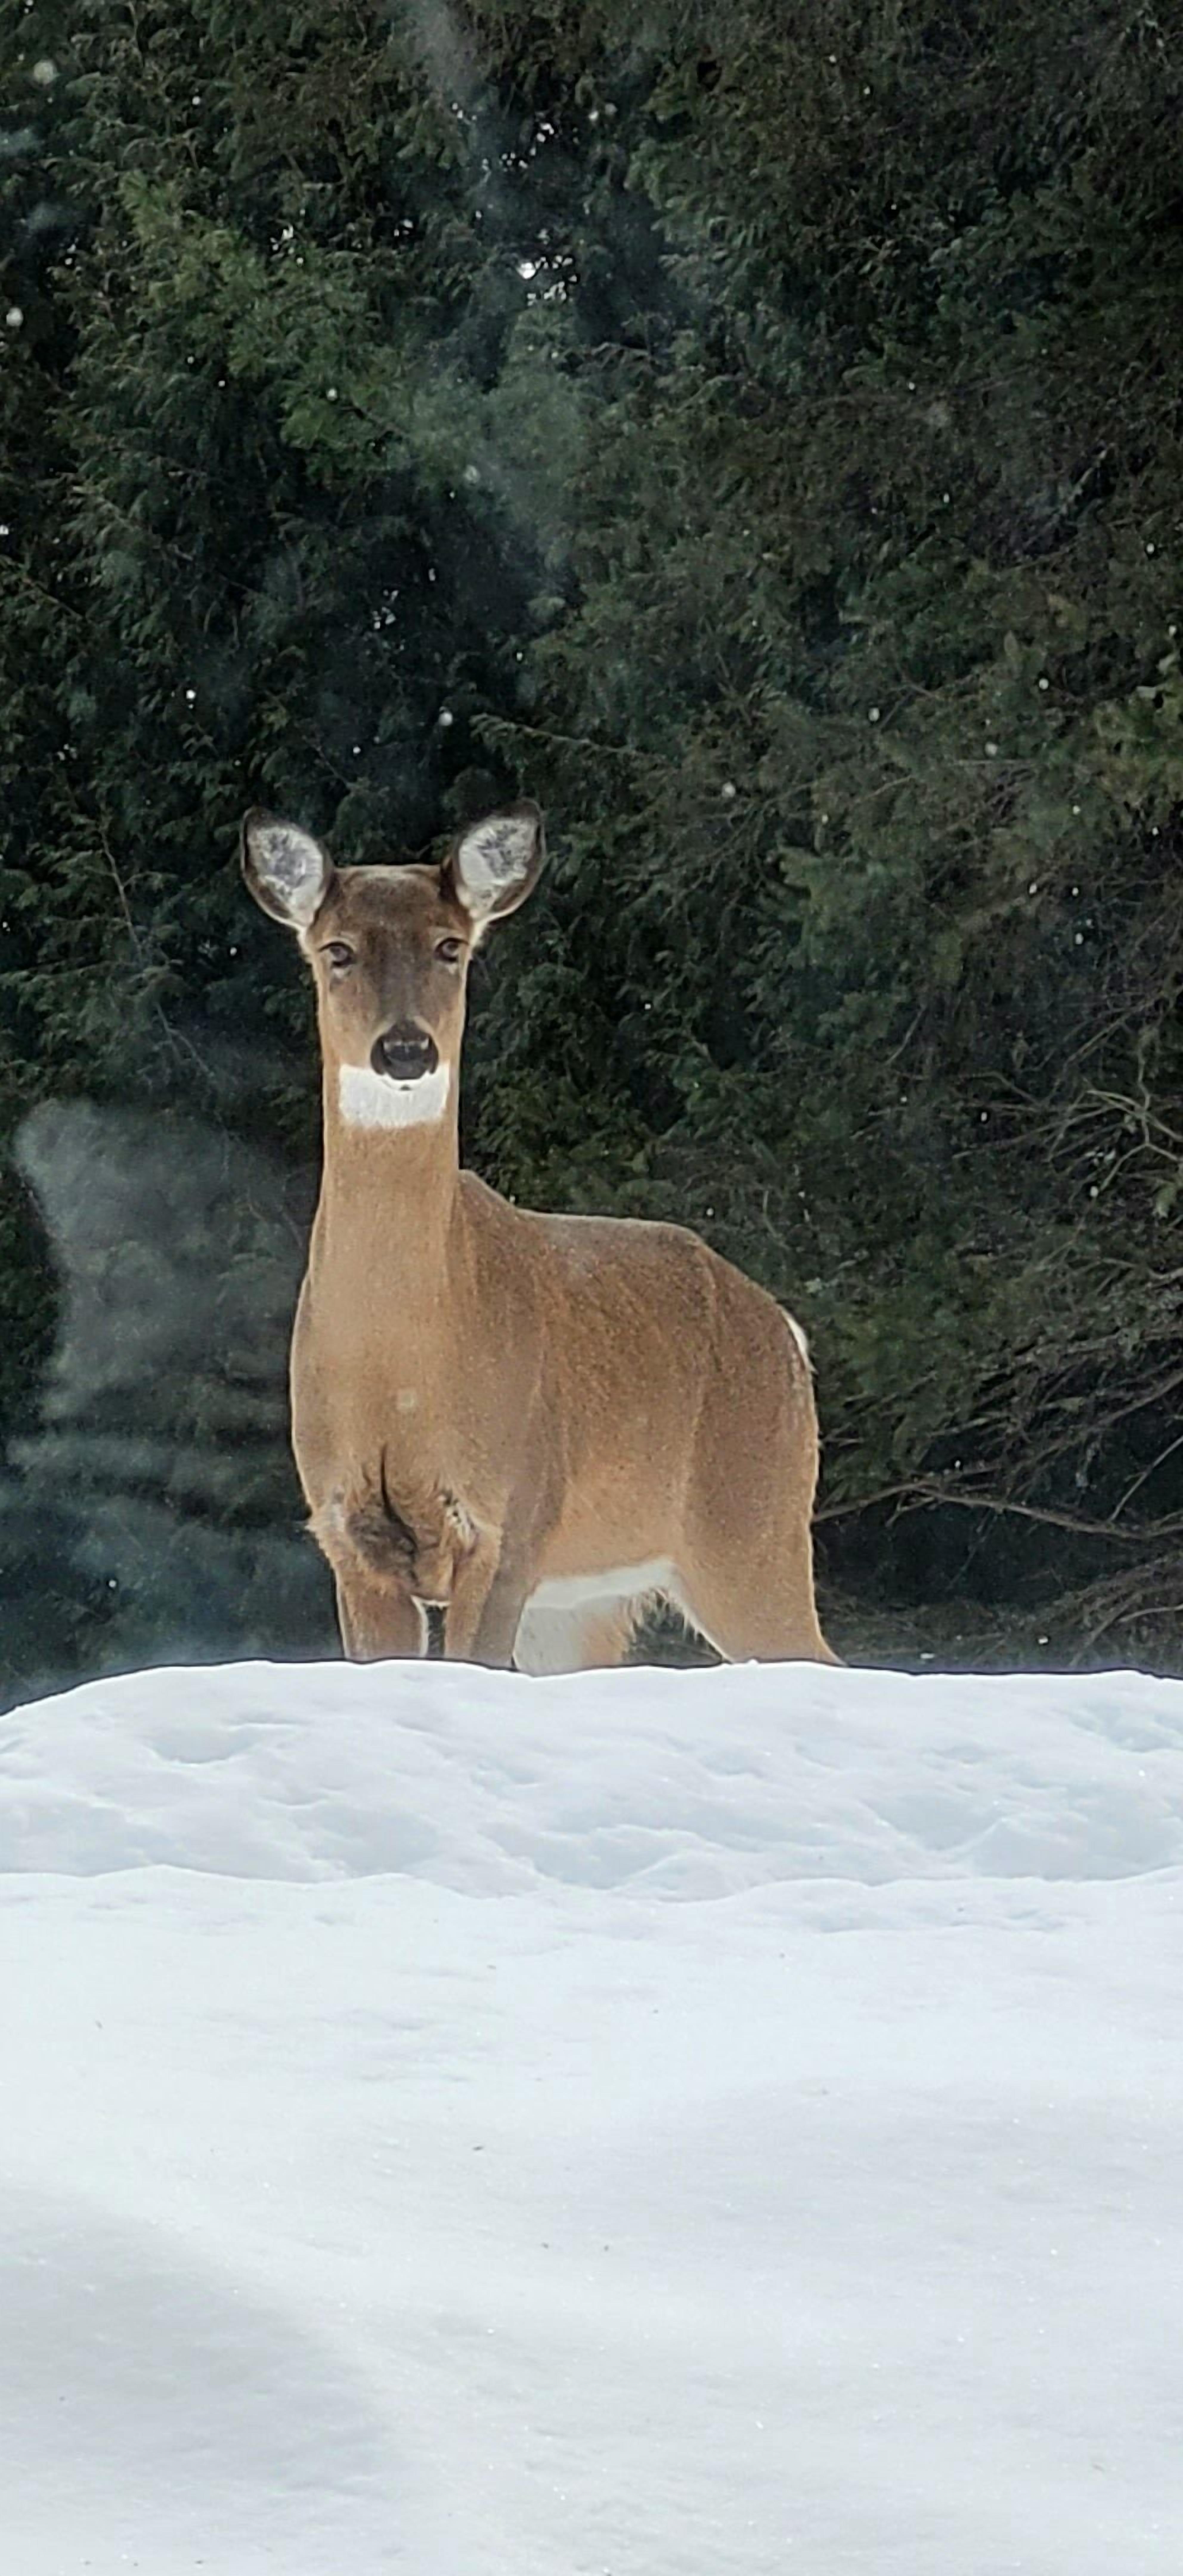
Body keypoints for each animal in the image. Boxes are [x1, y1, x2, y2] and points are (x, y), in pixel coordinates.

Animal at [241, 799, 838, 1674]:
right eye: (337, 950)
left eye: (450, 946)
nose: (406, 1049)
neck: (400, 1369)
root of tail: (785, 1331)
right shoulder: (345, 1530)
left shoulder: (509, 1517)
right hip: (589, 1599)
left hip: (752, 1522)